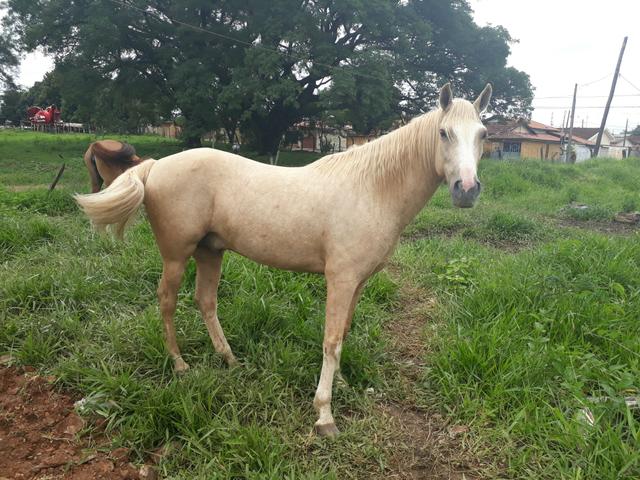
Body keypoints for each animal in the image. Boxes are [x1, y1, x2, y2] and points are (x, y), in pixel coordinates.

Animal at [74, 83, 492, 437]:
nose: (467, 190)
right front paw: (324, 414)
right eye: (444, 133)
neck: (372, 189)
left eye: (483, 134)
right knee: (167, 301)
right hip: (177, 256)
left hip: (211, 251)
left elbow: (343, 333)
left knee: (205, 301)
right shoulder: (340, 279)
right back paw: (180, 365)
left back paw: (230, 360)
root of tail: (155, 165)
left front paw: (341, 383)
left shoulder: (357, 282)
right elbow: (331, 340)